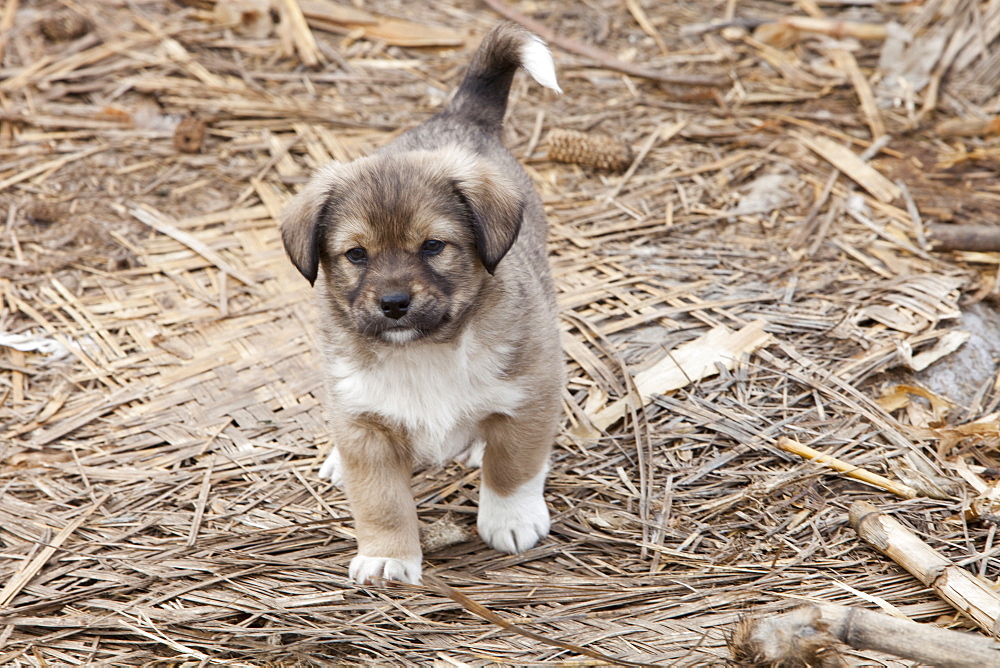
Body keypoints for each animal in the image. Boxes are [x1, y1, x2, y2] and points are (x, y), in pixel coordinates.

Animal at [282, 20, 564, 584]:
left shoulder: (531, 391)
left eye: (433, 246)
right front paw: (387, 556)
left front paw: (511, 518)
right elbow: (382, 501)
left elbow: (514, 466)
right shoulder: (365, 425)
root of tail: (459, 116)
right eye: (356, 254)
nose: (394, 303)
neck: (422, 351)